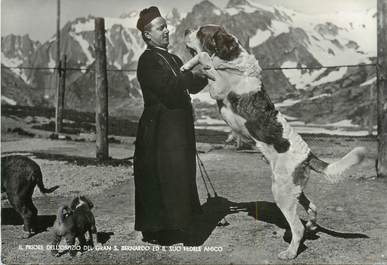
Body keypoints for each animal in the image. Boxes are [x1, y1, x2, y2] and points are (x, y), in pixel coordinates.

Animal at [182, 25, 366, 258]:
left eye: (201, 32)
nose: (186, 29)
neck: (233, 63)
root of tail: (308, 154)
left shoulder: (218, 87)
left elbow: (205, 58)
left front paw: (192, 62)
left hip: (282, 192)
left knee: (297, 227)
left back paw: (290, 252)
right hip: (293, 189)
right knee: (312, 207)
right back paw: (311, 226)